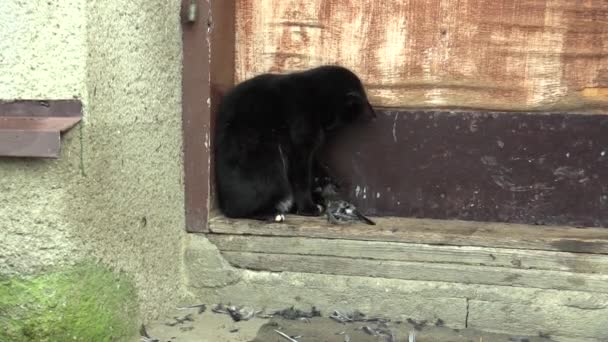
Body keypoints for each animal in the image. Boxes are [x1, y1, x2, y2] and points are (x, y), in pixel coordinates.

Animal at [214, 65, 376, 222]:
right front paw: (309, 208)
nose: (373, 113)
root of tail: (225, 204)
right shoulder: (301, 129)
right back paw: (271, 213)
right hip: (264, 160)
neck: (317, 99)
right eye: (363, 100)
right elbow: (301, 175)